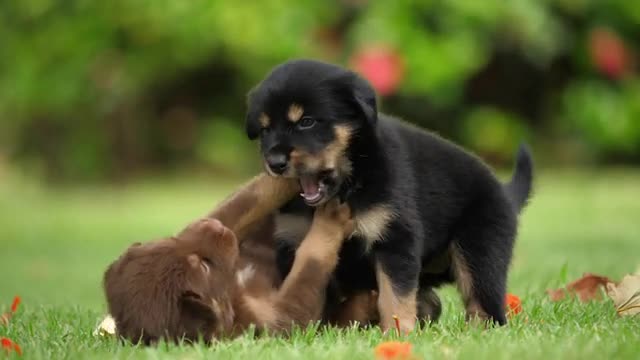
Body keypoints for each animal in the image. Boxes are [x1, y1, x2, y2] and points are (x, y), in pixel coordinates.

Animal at [105, 200, 356, 344]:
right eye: (204, 266)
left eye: (171, 240)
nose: (213, 225)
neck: (234, 289)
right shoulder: (274, 318)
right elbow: (309, 266)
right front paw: (331, 218)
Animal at [245, 59, 536, 332]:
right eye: (265, 130)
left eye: (306, 122)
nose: (274, 163)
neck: (351, 181)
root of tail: (504, 192)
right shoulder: (292, 243)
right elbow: (304, 288)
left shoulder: (395, 239)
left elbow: (394, 296)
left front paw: (398, 333)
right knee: (432, 302)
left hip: (480, 253)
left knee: (485, 307)